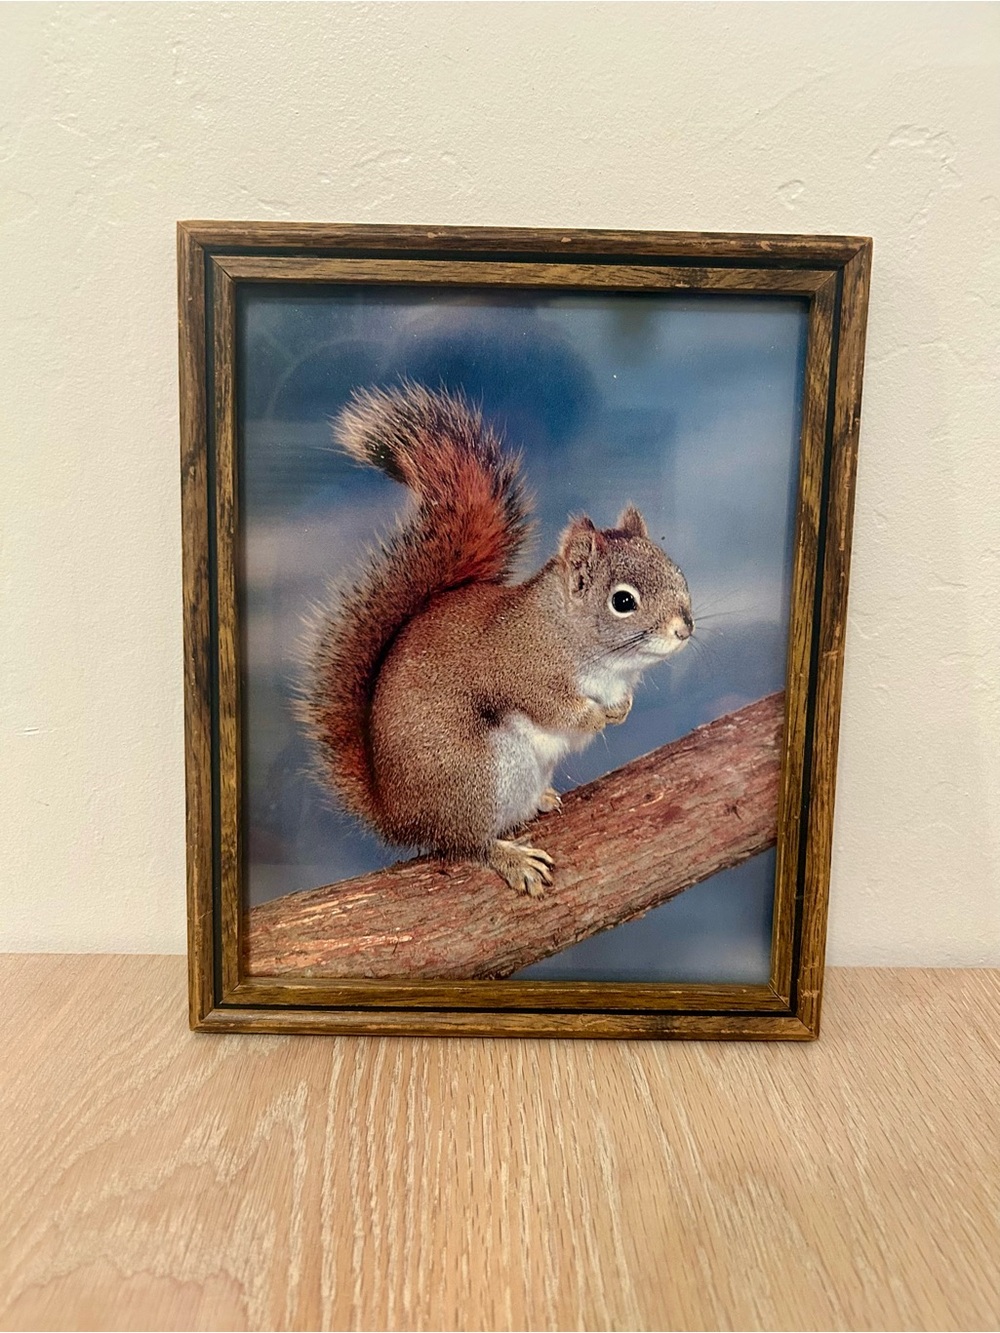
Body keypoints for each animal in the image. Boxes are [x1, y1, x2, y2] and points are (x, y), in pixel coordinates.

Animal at [301, 383, 693, 897]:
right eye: (623, 601)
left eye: (677, 571)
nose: (684, 628)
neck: (570, 634)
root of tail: (396, 815)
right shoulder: (520, 671)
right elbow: (556, 708)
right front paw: (592, 717)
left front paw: (620, 711)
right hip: (480, 777)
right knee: (464, 845)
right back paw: (509, 857)